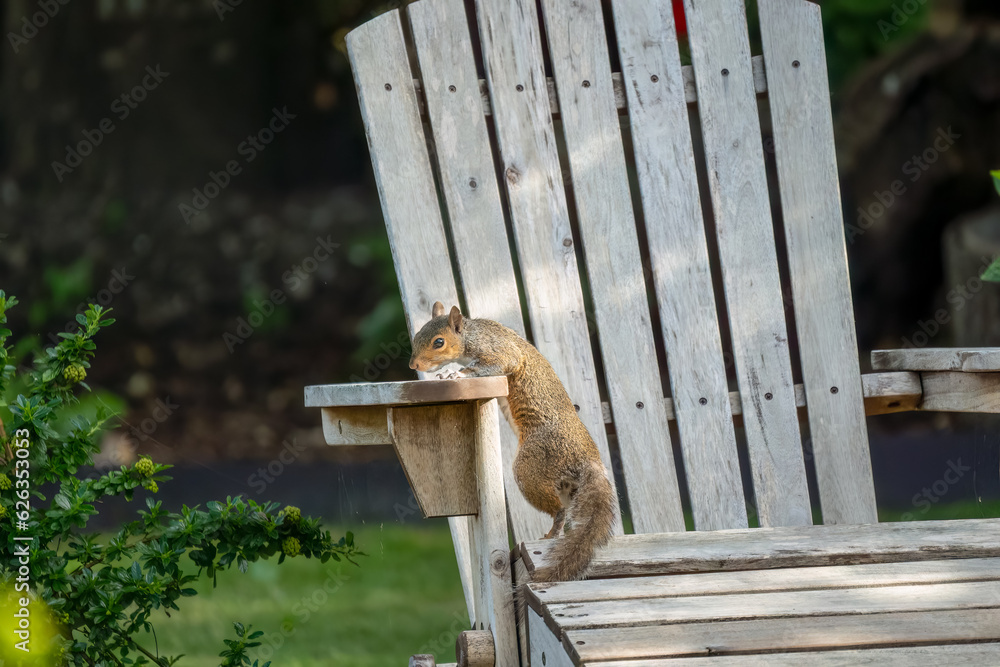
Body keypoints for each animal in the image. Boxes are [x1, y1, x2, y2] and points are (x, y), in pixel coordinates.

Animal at [409, 302, 616, 584]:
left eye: (438, 342)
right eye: (417, 335)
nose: (413, 365)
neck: (472, 334)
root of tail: (588, 458)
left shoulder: (499, 351)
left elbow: (498, 362)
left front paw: (455, 373)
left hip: (530, 468)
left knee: (558, 510)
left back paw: (551, 533)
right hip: (566, 485)